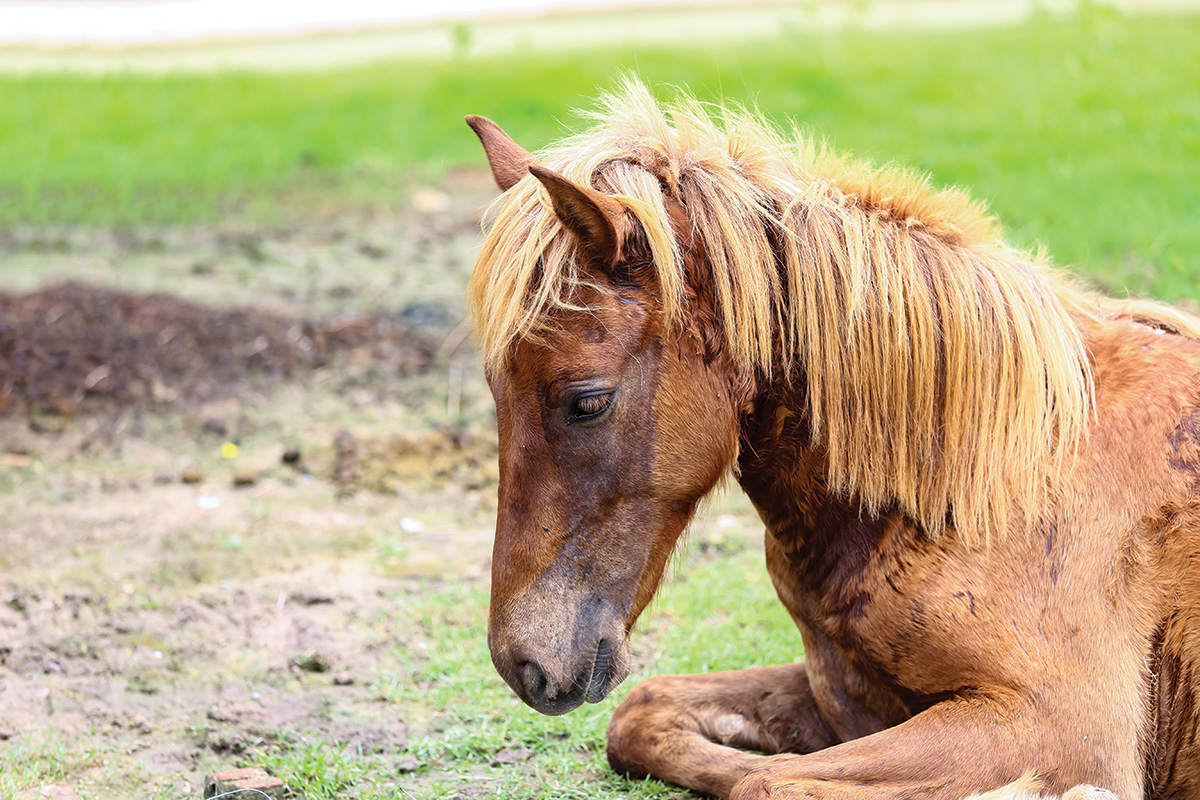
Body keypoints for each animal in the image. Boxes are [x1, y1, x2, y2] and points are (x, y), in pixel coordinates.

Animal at [460, 77, 1200, 796]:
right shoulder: (846, 694)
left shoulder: (1060, 727)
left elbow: (769, 783)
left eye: (587, 402)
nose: (523, 663)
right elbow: (646, 715)